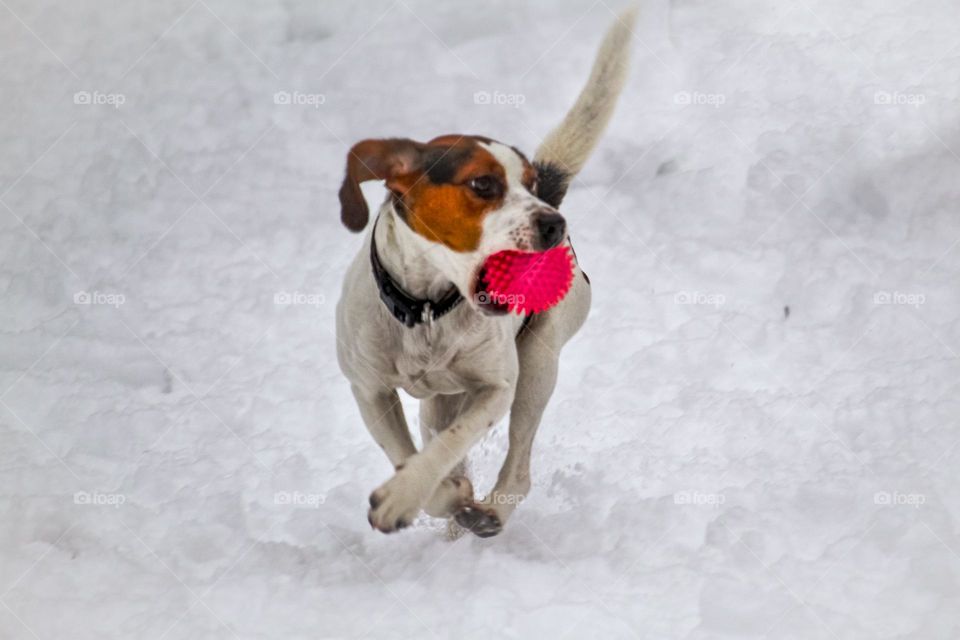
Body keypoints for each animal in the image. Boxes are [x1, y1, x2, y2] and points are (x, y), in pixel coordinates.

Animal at [334, 11, 632, 540]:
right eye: (483, 183)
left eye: (530, 184)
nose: (554, 223)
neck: (428, 309)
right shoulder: (369, 391)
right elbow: (407, 455)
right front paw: (437, 493)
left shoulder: (496, 388)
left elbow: (450, 444)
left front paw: (407, 495)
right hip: (439, 401)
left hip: (538, 363)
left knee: (519, 465)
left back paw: (490, 509)